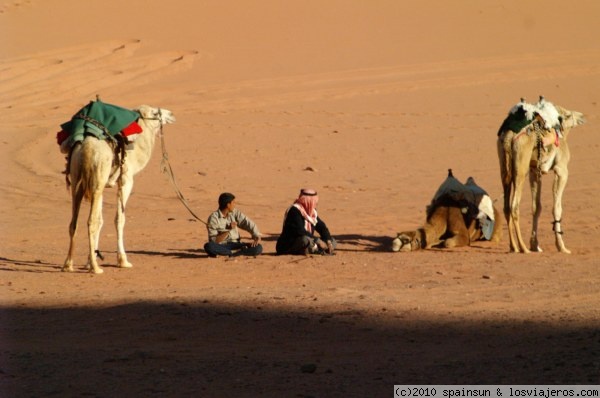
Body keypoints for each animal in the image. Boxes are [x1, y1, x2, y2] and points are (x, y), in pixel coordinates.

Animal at [61, 102, 175, 274]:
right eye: (155, 113)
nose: (171, 114)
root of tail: (87, 146)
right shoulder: (126, 180)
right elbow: (119, 218)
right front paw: (123, 260)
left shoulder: (102, 185)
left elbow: (101, 220)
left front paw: (89, 260)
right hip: (98, 175)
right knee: (90, 221)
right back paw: (96, 269)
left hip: (79, 180)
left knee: (74, 221)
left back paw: (69, 265)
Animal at [496, 95, 584, 252]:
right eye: (569, 115)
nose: (582, 116)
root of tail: (509, 136)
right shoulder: (562, 170)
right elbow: (557, 208)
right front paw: (562, 247)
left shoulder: (535, 172)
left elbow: (536, 207)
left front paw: (535, 244)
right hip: (520, 166)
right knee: (514, 206)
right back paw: (523, 248)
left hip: (504, 164)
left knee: (506, 206)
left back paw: (514, 247)